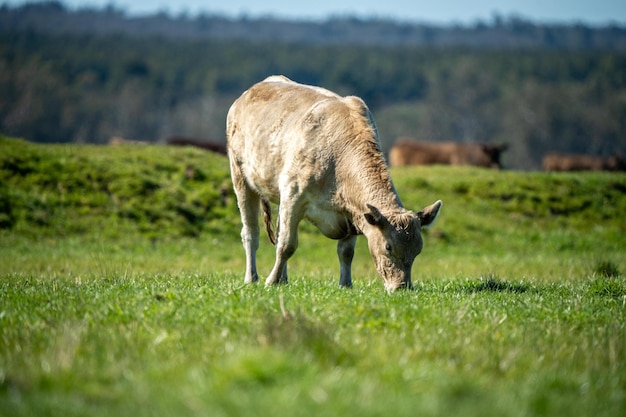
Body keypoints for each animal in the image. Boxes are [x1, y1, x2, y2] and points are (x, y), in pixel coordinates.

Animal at [227, 75, 442, 290]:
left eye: (418, 249)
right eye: (388, 247)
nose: (402, 287)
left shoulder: (351, 211)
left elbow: (346, 252)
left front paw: (345, 284)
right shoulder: (293, 195)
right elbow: (287, 245)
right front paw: (270, 281)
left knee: (278, 231)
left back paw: (283, 279)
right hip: (240, 176)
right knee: (251, 233)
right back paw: (252, 277)